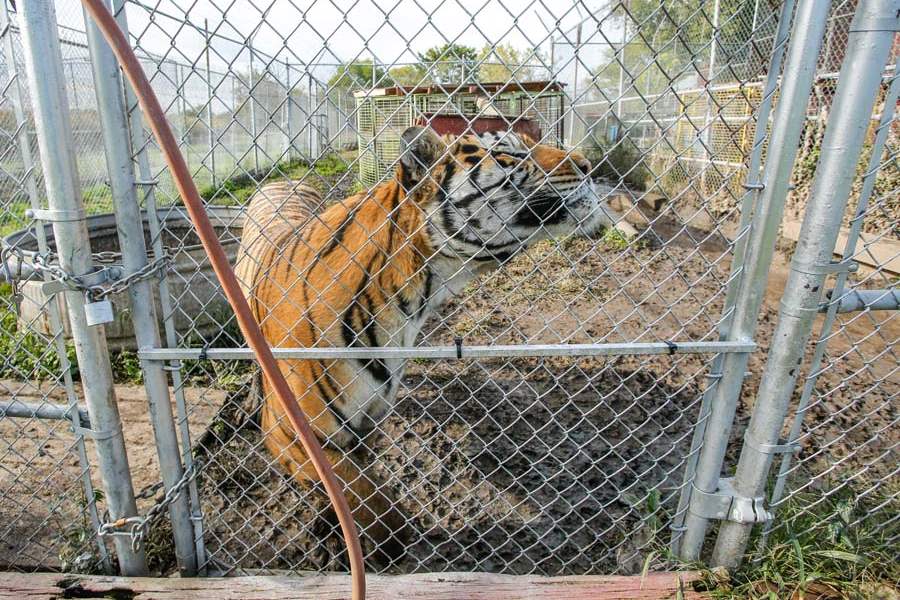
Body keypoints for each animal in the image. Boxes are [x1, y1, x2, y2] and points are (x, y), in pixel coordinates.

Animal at [235, 126, 617, 564]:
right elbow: (358, 493)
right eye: (509, 154)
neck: (416, 291)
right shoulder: (295, 433)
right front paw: (387, 545)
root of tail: (284, 180)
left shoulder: (371, 418)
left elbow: (362, 483)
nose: (588, 165)